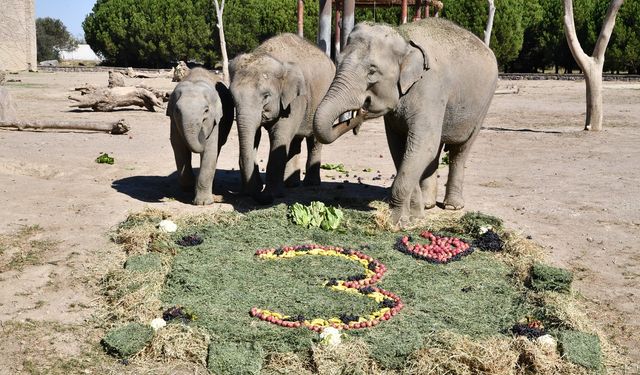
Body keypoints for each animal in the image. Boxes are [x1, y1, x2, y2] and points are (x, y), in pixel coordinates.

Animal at [166, 67, 234, 206]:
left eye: (206, 110)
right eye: (177, 110)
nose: (202, 133)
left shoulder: (215, 121)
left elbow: (210, 150)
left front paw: (203, 203)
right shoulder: (173, 121)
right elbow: (178, 147)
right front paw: (188, 187)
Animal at [229, 34, 336, 206]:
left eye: (266, 96)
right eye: (231, 96)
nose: (257, 193)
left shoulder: (296, 100)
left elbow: (279, 136)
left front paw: (272, 194)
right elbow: (255, 136)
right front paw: (253, 190)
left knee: (314, 140)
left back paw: (311, 184)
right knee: (294, 141)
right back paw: (290, 184)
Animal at [316, 18, 500, 226]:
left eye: (372, 71)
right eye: (337, 62)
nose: (362, 111)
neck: (404, 38)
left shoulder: (430, 89)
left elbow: (421, 146)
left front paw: (397, 222)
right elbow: (401, 148)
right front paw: (415, 215)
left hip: (484, 104)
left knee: (460, 150)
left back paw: (453, 206)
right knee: (435, 151)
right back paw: (428, 204)